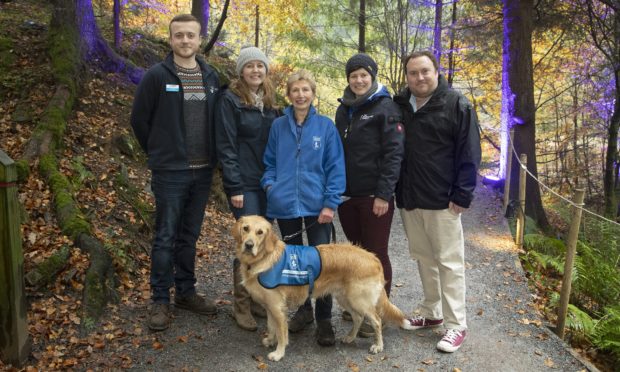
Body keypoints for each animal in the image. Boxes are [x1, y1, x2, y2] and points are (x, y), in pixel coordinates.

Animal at [230, 215, 414, 360]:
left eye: (260, 232)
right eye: (245, 228)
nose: (248, 245)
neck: (263, 258)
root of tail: (373, 258)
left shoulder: (277, 307)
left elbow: (282, 333)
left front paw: (279, 353)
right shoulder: (270, 307)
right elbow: (271, 326)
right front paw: (270, 340)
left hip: (359, 300)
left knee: (376, 320)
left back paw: (378, 346)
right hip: (345, 298)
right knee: (358, 318)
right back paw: (350, 338)